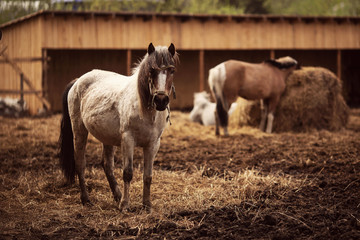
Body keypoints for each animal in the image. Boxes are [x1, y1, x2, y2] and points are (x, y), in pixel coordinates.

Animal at [58, 43, 180, 210]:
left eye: (172, 70)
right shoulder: (128, 140)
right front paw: (125, 205)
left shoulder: (153, 144)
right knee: (80, 163)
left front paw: (147, 205)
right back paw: (86, 199)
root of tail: (77, 82)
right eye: (151, 70)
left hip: (107, 138)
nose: (161, 100)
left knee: (107, 165)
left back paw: (117, 195)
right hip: (79, 130)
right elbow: (127, 173)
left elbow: (148, 176)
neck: (144, 110)